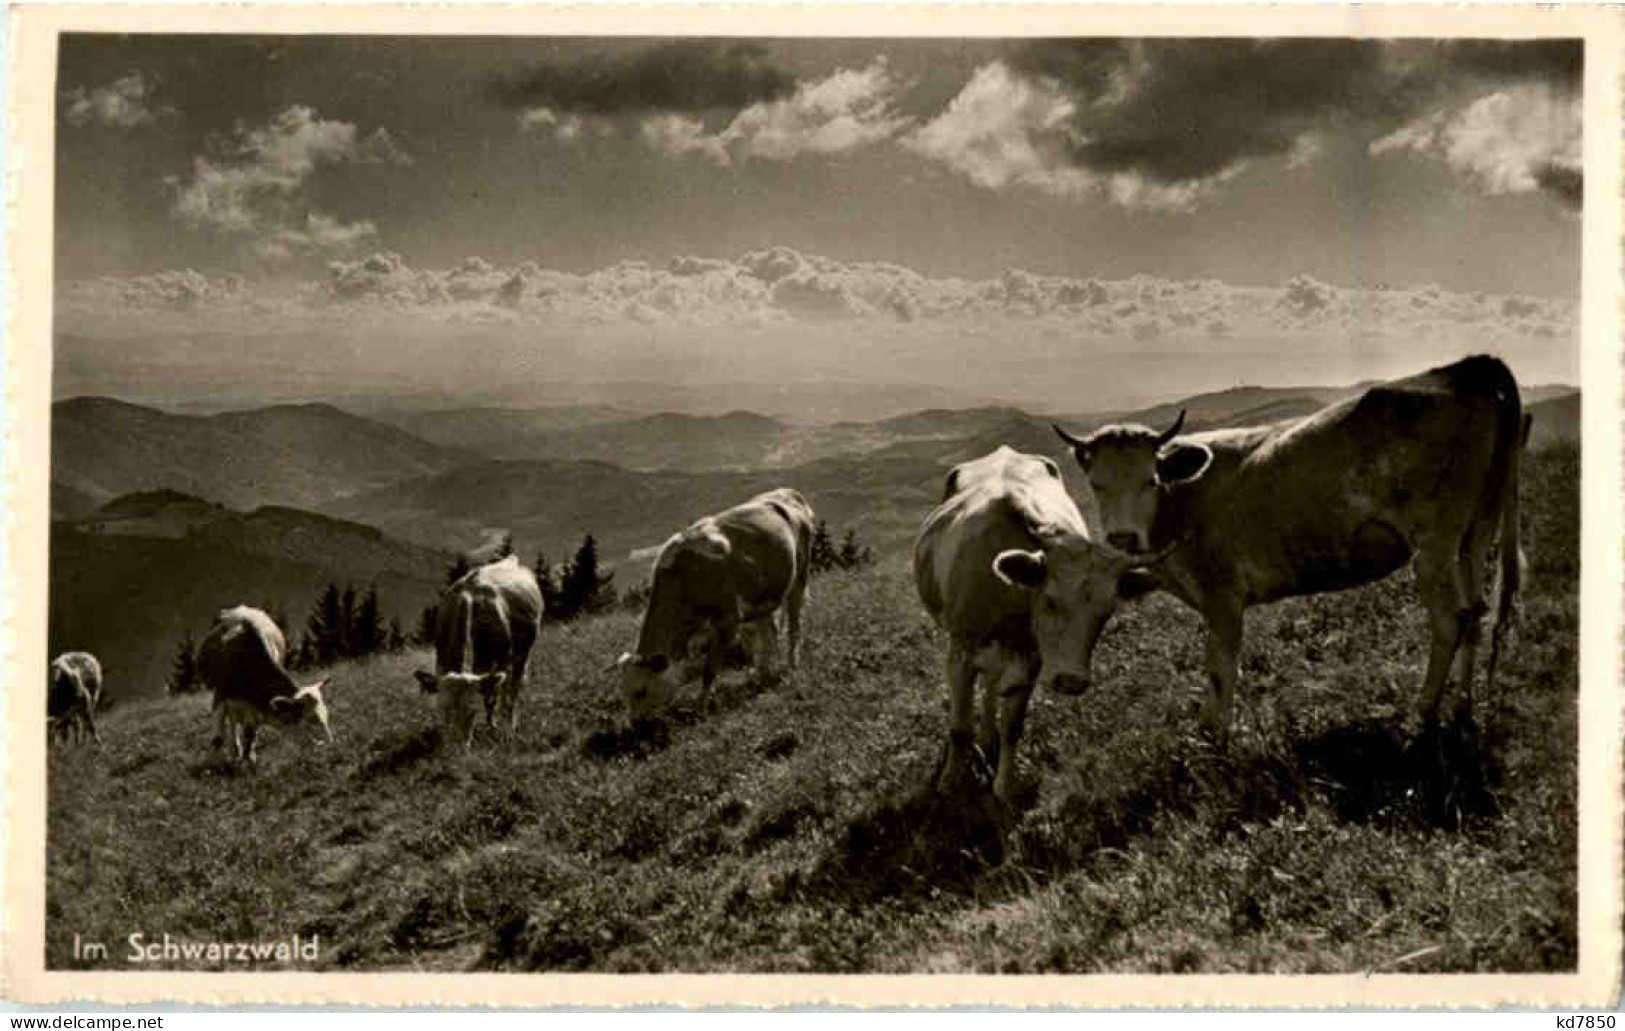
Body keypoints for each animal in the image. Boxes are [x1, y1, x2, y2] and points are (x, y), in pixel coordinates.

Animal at [199, 601, 333, 764]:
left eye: (326, 716)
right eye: (312, 720)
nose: (330, 744)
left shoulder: (256, 704)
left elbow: (249, 733)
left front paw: (249, 759)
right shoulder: (220, 695)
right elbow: (218, 735)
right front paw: (213, 760)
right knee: (230, 721)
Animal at [416, 552, 542, 748]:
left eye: (472, 711)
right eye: (443, 710)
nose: (456, 748)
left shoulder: (499, 662)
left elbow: (491, 700)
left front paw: (492, 728)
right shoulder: (441, 662)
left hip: (522, 652)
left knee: (512, 687)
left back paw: (510, 720)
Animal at [614, 484, 812, 718]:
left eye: (642, 691)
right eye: (624, 693)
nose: (636, 723)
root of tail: (788, 492)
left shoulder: (728, 621)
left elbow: (709, 669)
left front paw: (700, 708)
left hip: (799, 578)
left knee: (794, 626)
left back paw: (791, 665)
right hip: (763, 598)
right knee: (769, 633)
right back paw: (764, 673)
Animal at [916, 445, 1170, 800]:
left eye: (1105, 612)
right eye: (1050, 600)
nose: (1070, 681)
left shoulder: (1033, 657)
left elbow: (1013, 725)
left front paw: (1005, 786)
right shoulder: (960, 652)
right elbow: (959, 727)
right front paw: (950, 780)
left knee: (992, 686)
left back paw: (988, 735)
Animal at [1053, 354, 1534, 738]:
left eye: (1150, 480)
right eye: (1095, 484)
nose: (1121, 538)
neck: (1178, 504)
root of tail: (1462, 368)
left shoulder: (1223, 594)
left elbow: (1219, 670)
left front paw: (1214, 741)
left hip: (1434, 540)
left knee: (1450, 619)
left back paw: (1422, 716)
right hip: (1477, 527)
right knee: (1475, 612)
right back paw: (1462, 709)